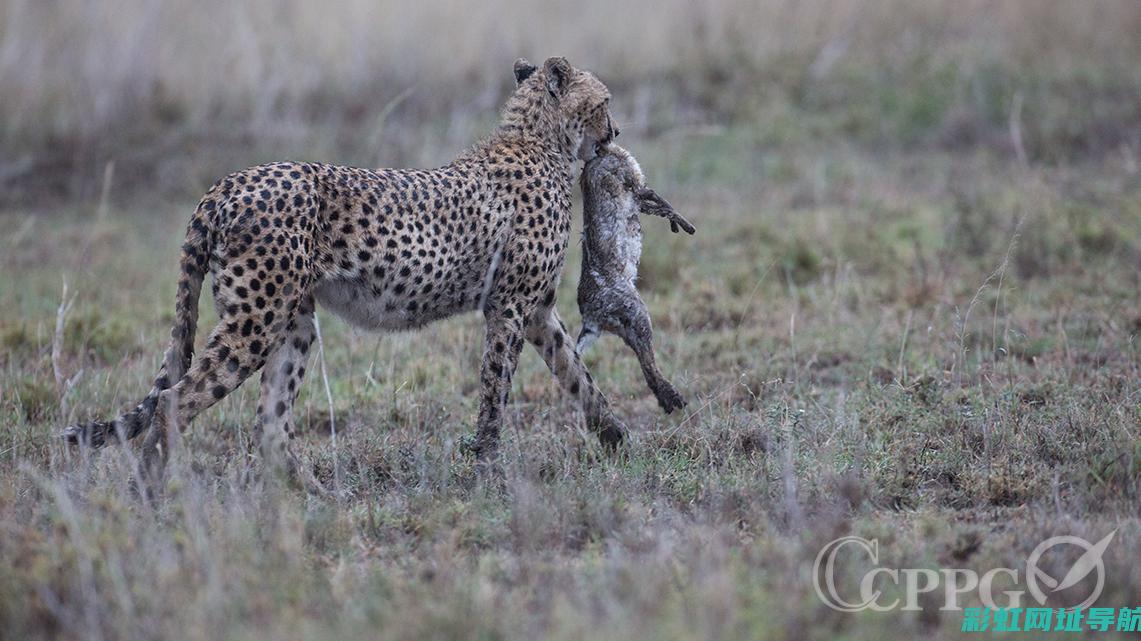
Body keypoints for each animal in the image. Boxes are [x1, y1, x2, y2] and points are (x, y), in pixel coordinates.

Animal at [63, 57, 629, 481]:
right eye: (605, 102)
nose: (616, 131)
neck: (539, 141)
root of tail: (228, 182)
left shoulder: (536, 311)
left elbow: (578, 374)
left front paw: (619, 438)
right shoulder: (509, 307)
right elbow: (496, 390)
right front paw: (488, 469)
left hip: (291, 322)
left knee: (269, 424)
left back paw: (310, 497)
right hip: (255, 321)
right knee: (173, 401)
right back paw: (147, 497)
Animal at [575, 142, 689, 410]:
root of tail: (590, 319)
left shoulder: (636, 196)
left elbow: (657, 206)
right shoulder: (635, 187)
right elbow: (661, 202)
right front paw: (686, 226)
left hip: (627, 327)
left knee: (644, 361)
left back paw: (669, 402)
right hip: (637, 314)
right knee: (649, 363)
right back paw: (675, 400)